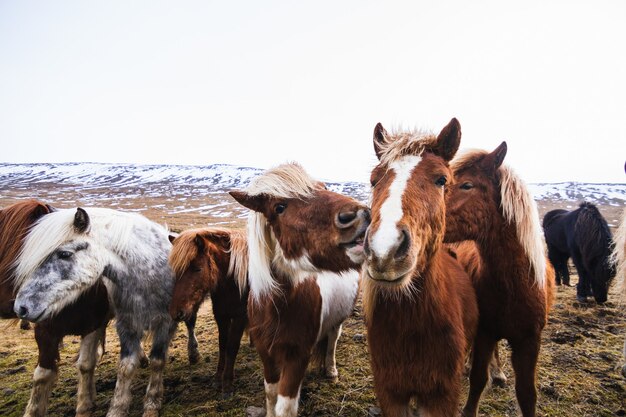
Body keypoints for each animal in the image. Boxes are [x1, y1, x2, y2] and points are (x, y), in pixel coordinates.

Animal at [12, 207, 178, 416]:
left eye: (64, 254)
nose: (21, 307)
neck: (148, 275)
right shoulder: (127, 325)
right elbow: (125, 367)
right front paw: (117, 408)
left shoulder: (165, 323)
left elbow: (158, 360)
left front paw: (152, 404)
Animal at [171, 228, 251, 394]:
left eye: (197, 268)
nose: (177, 312)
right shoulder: (221, 316)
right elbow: (223, 345)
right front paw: (218, 378)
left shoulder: (240, 317)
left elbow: (232, 346)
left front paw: (227, 384)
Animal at [229, 162, 368, 416]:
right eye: (279, 207)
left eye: (324, 187)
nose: (358, 215)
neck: (276, 308)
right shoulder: (267, 356)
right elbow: (271, 394)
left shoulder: (297, 357)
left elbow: (285, 406)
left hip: (338, 320)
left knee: (332, 340)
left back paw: (331, 370)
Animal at [442, 141, 552, 416]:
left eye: (467, 185)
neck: (516, 285)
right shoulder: (485, 332)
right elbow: (478, 379)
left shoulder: (529, 341)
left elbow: (527, 394)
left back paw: (500, 372)